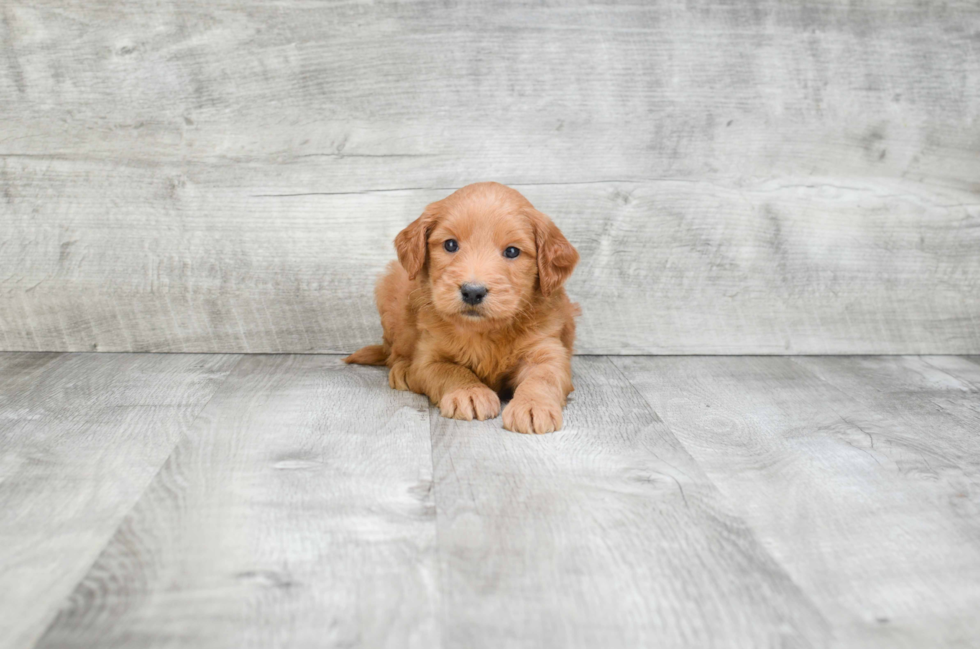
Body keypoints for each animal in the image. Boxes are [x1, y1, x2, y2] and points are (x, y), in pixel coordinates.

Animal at [344, 182, 580, 432]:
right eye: (450, 244)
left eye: (512, 251)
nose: (473, 292)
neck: (484, 331)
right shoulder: (429, 356)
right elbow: (451, 370)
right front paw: (469, 392)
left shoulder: (547, 349)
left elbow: (544, 376)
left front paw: (533, 405)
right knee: (393, 352)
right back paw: (403, 369)